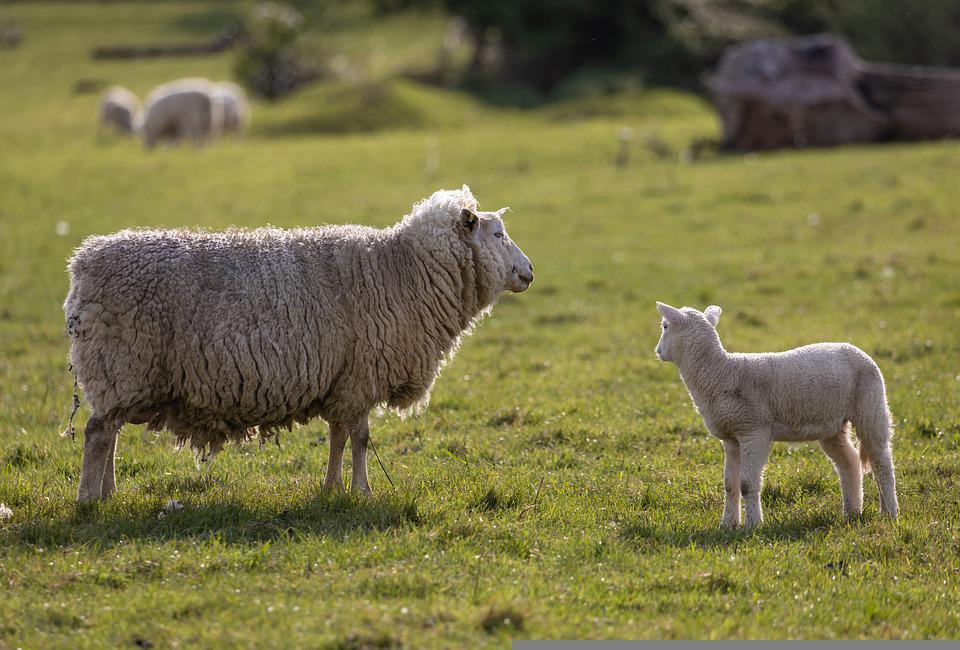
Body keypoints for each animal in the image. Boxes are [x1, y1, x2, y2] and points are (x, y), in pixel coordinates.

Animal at [64, 186, 534, 503]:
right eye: (497, 235)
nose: (529, 272)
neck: (402, 271)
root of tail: (83, 263)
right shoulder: (361, 376)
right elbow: (360, 438)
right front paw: (362, 490)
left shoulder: (342, 380)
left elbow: (338, 437)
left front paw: (332, 487)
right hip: (120, 364)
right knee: (97, 434)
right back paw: (89, 499)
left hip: (120, 376)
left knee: (109, 433)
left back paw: (108, 492)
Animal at [654, 301, 898, 528]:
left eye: (665, 326)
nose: (657, 351)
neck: (720, 373)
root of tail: (858, 350)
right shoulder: (731, 437)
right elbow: (730, 485)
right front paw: (727, 525)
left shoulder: (754, 431)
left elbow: (746, 484)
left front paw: (752, 525)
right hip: (832, 424)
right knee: (849, 462)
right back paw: (852, 512)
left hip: (870, 406)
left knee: (882, 462)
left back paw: (889, 513)